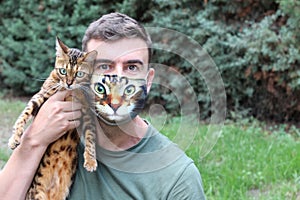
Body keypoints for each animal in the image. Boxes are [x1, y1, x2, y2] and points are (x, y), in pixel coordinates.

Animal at [7, 37, 97, 200]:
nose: (69, 83)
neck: (70, 93)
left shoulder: (87, 111)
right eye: (63, 71)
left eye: (79, 74)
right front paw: (14, 138)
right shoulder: (42, 96)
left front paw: (91, 160)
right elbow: (25, 113)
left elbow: (90, 136)